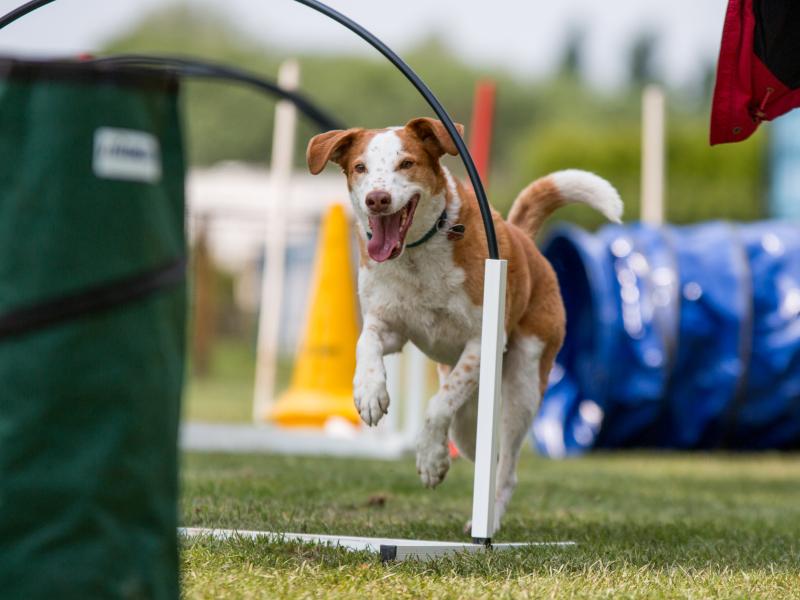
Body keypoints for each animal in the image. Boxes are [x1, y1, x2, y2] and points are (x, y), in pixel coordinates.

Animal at [306, 118, 624, 536]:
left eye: (406, 163)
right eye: (360, 167)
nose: (377, 199)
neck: (416, 255)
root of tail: (524, 240)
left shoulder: (480, 341)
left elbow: (438, 404)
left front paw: (431, 459)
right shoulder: (391, 326)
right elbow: (367, 344)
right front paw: (369, 394)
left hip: (523, 385)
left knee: (506, 467)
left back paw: (487, 521)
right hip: (471, 414)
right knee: (480, 446)